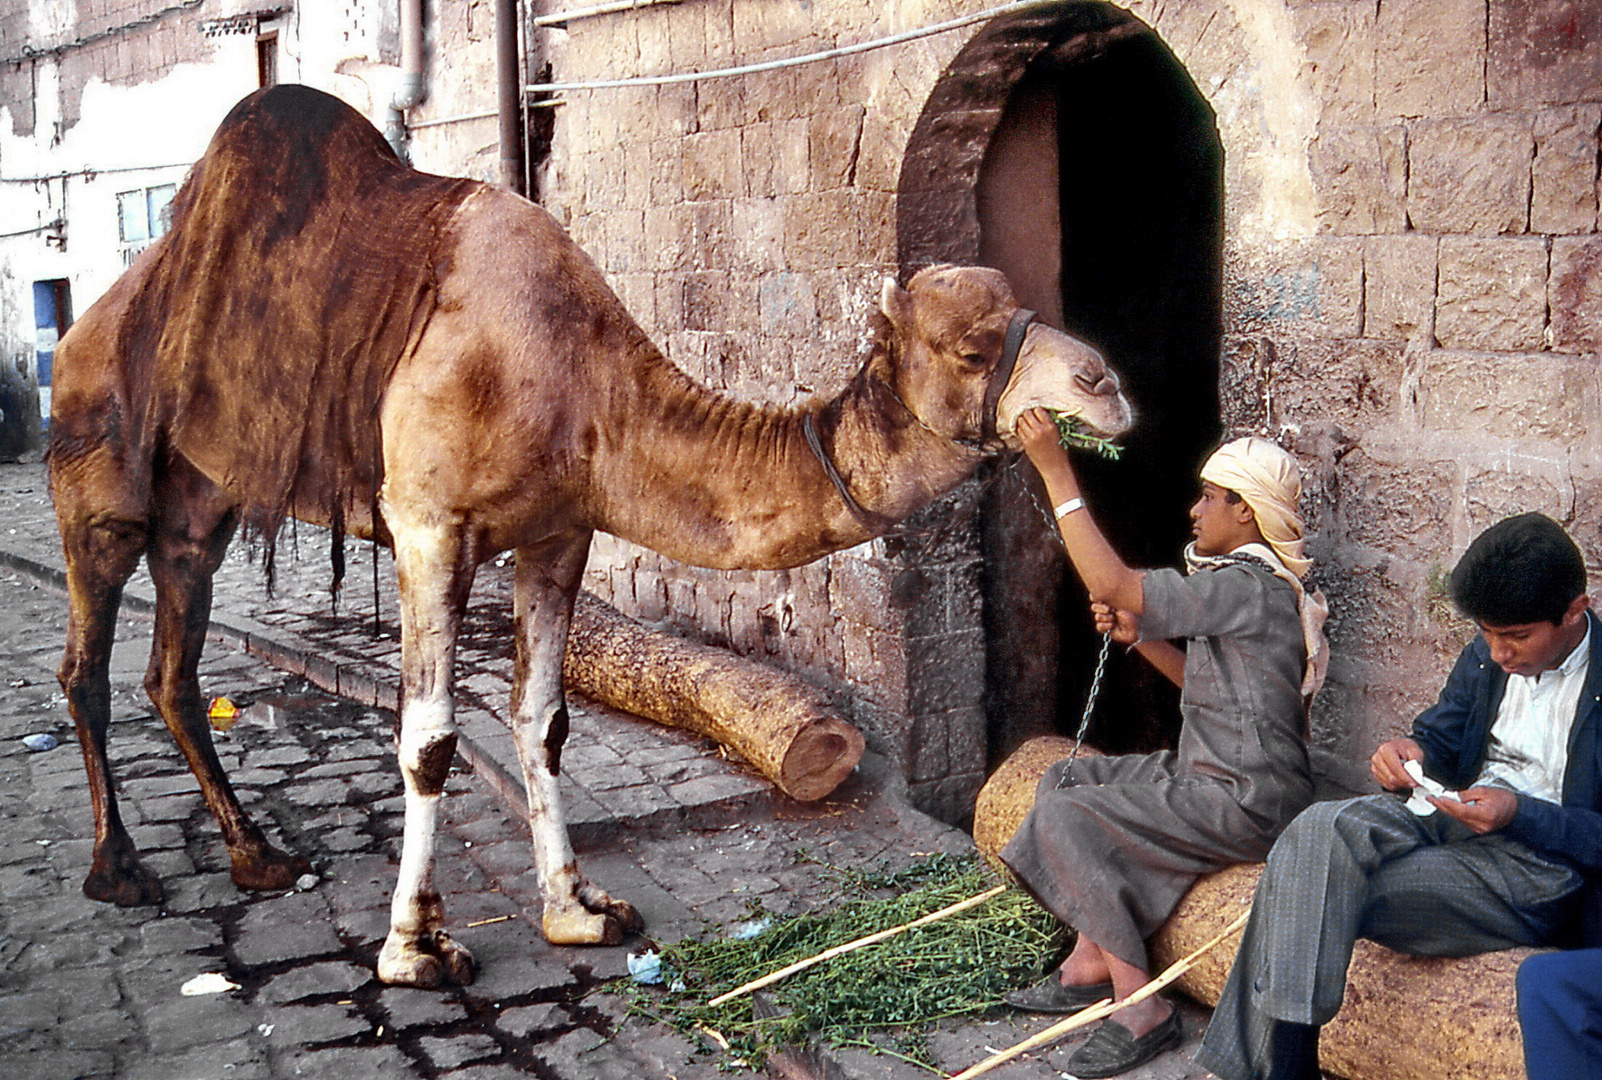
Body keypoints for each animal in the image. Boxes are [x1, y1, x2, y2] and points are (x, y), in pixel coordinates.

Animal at [50, 86, 1140, 987]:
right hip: (98, 477)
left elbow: (543, 722)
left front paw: (577, 911)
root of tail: (87, 322)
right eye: (973, 347)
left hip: (201, 502)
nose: (1109, 386)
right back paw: (119, 871)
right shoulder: (428, 528)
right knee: (87, 662)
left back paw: (257, 857)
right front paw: (415, 950)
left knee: (171, 664)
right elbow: (430, 739)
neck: (574, 379)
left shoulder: (559, 533)